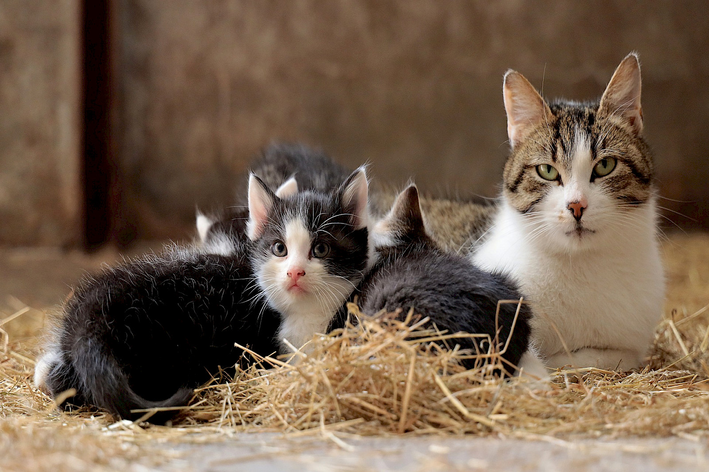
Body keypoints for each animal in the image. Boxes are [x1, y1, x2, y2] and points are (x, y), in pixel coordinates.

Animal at [470, 53, 664, 370]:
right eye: (547, 171)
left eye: (605, 165)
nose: (576, 205)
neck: (579, 264)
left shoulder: (628, 347)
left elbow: (596, 357)